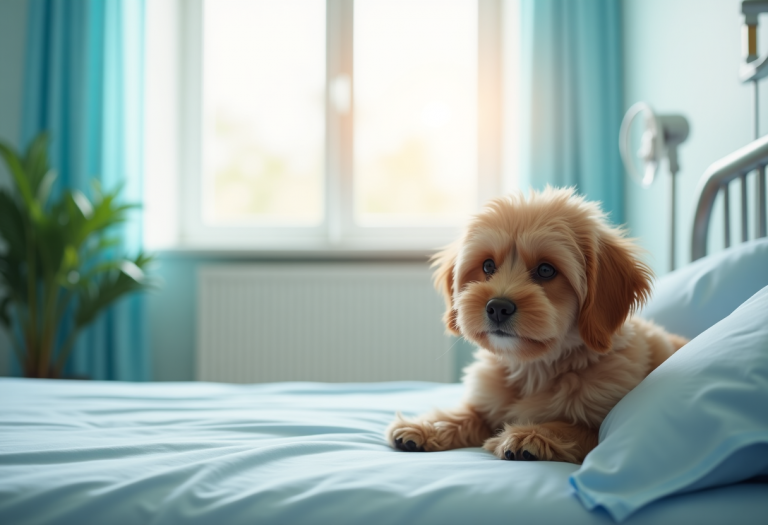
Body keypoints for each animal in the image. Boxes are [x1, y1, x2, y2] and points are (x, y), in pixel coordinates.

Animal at [388, 187, 688, 462]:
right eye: (487, 266)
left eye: (546, 270)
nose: (497, 307)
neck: (534, 367)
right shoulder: (486, 405)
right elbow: (467, 415)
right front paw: (426, 426)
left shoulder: (601, 426)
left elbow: (572, 427)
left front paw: (529, 435)